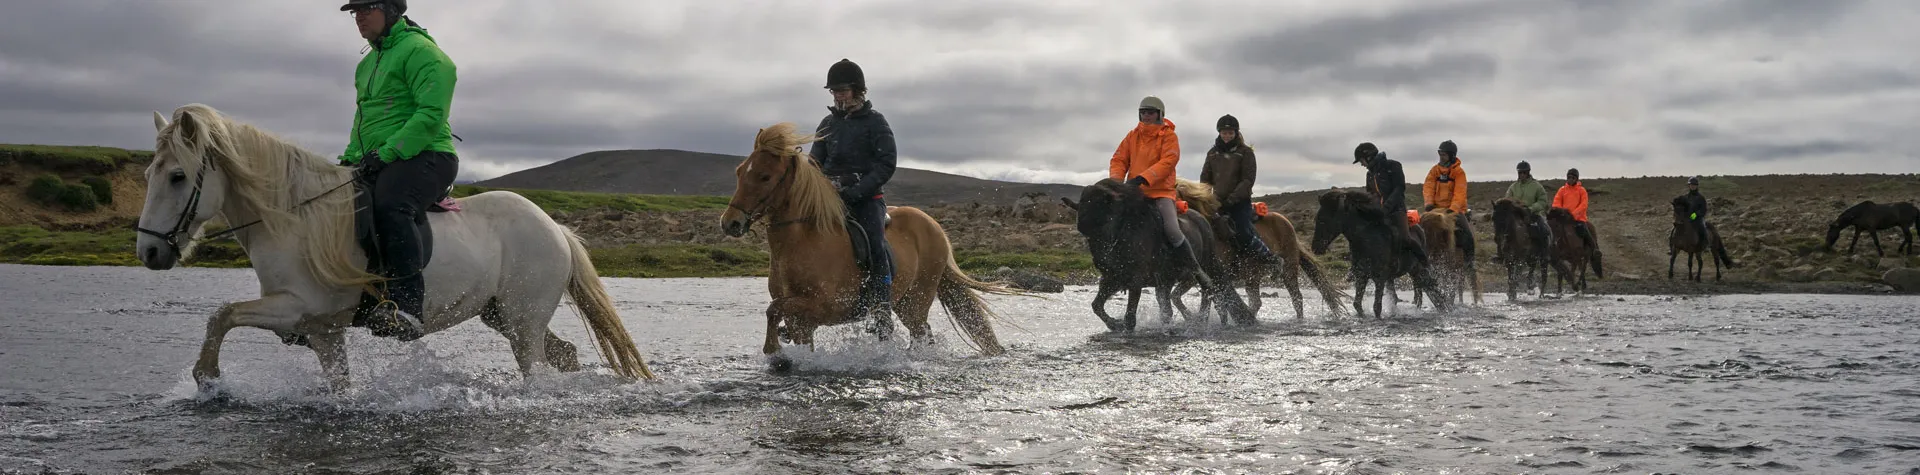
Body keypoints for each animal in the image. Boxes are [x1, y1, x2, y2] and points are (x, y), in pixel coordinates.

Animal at [139, 104, 656, 390]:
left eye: (178, 176)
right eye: (148, 174)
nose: (149, 253)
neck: (292, 220)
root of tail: (554, 227)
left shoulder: (296, 308)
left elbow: (222, 313)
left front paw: (208, 378)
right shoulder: (323, 329)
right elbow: (338, 388)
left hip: (523, 319)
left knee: (537, 365)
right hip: (503, 315)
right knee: (562, 354)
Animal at [721, 121, 1021, 367]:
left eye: (765, 176)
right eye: (739, 172)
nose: (730, 223)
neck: (803, 241)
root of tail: (934, 226)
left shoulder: (824, 307)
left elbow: (773, 309)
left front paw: (773, 351)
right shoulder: (801, 321)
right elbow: (779, 315)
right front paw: (779, 354)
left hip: (917, 299)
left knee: (921, 333)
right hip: (904, 302)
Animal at [1059, 178, 1251, 334]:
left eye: (1106, 222)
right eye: (1084, 232)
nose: (1101, 263)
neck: (1125, 232)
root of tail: (1202, 218)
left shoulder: (1135, 280)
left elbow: (1130, 318)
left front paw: (1123, 328)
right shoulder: (1113, 279)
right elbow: (1097, 305)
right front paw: (1114, 324)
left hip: (1206, 265)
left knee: (1209, 291)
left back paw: (1203, 320)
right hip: (1166, 281)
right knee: (1174, 303)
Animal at [1167, 179, 1351, 321]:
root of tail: (1287, 225)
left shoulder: (1197, 276)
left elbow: (1181, 298)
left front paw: (1191, 318)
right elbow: (1193, 300)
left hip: (1288, 271)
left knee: (1296, 298)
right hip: (1252, 276)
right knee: (1256, 302)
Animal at [1305, 189, 1443, 319]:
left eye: (1322, 220)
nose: (1315, 248)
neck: (1367, 240)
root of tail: (1419, 229)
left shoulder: (1379, 278)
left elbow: (1377, 307)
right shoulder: (1361, 276)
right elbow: (1357, 304)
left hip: (1417, 270)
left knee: (1425, 291)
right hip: (1402, 275)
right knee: (1411, 295)